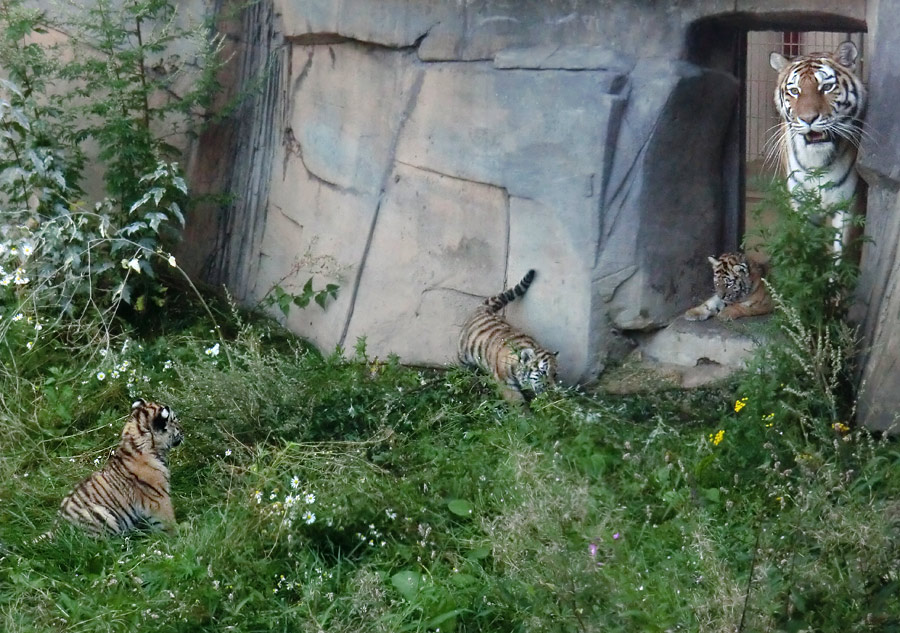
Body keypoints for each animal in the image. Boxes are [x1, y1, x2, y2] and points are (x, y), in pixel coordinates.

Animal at [768, 39, 868, 252]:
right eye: (794, 91)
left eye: (827, 87)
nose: (808, 119)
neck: (817, 162)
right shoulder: (801, 206)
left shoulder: (847, 207)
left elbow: (840, 254)